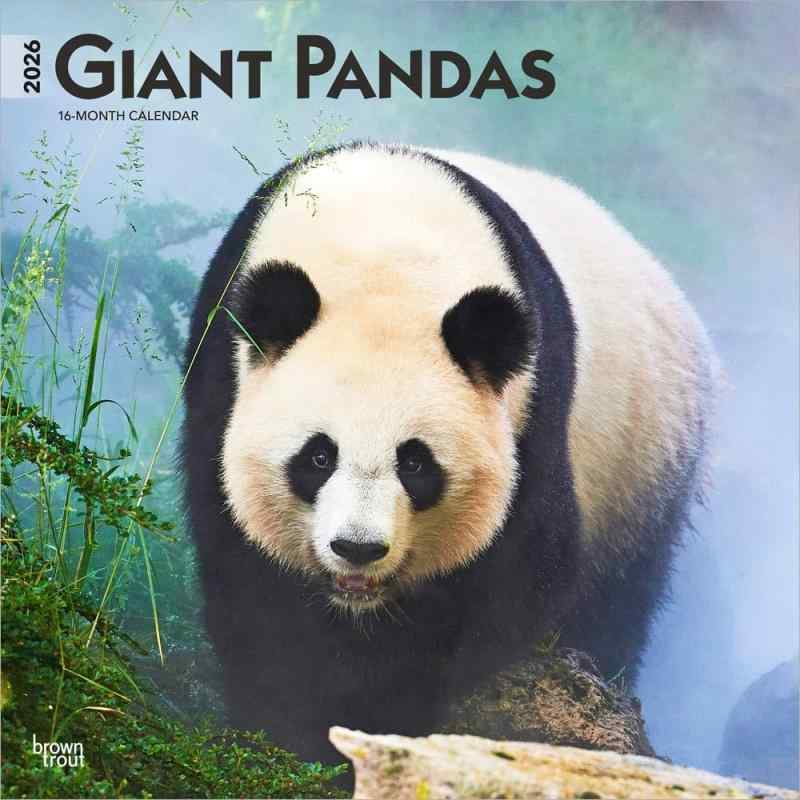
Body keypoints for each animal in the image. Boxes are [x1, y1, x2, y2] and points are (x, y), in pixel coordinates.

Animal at [182, 142, 716, 764]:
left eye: (415, 463)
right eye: (318, 457)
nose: (357, 549)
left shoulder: (533, 410)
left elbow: (515, 580)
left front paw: (378, 706)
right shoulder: (220, 371)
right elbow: (248, 578)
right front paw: (292, 730)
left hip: (643, 464)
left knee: (617, 601)